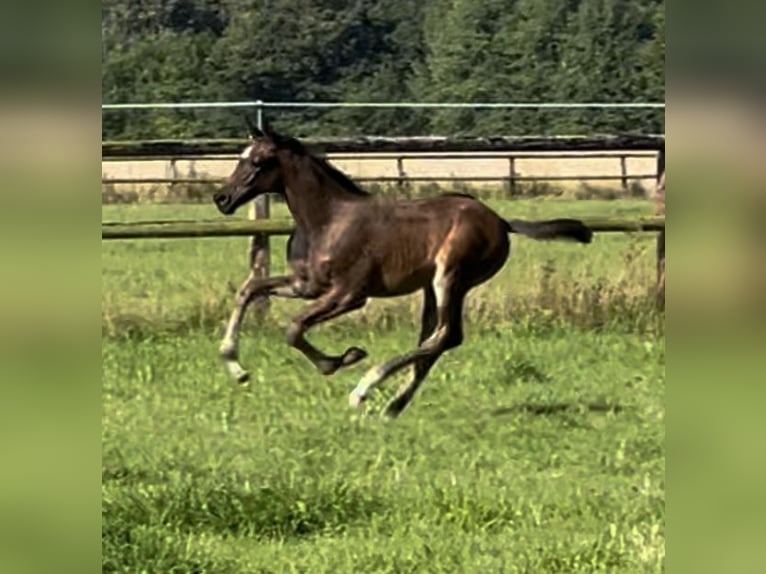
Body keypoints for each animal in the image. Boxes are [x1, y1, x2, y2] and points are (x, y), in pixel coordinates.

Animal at [213, 125, 596, 418]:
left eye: (259, 161)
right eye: (240, 157)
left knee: (446, 336)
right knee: (434, 339)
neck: (328, 220)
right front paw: (236, 368)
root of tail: (501, 221)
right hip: (433, 288)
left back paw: (365, 388)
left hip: (450, 277)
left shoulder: (349, 295)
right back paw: (393, 406)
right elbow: (250, 290)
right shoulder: (305, 284)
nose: (222, 198)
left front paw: (341, 360)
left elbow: (293, 328)